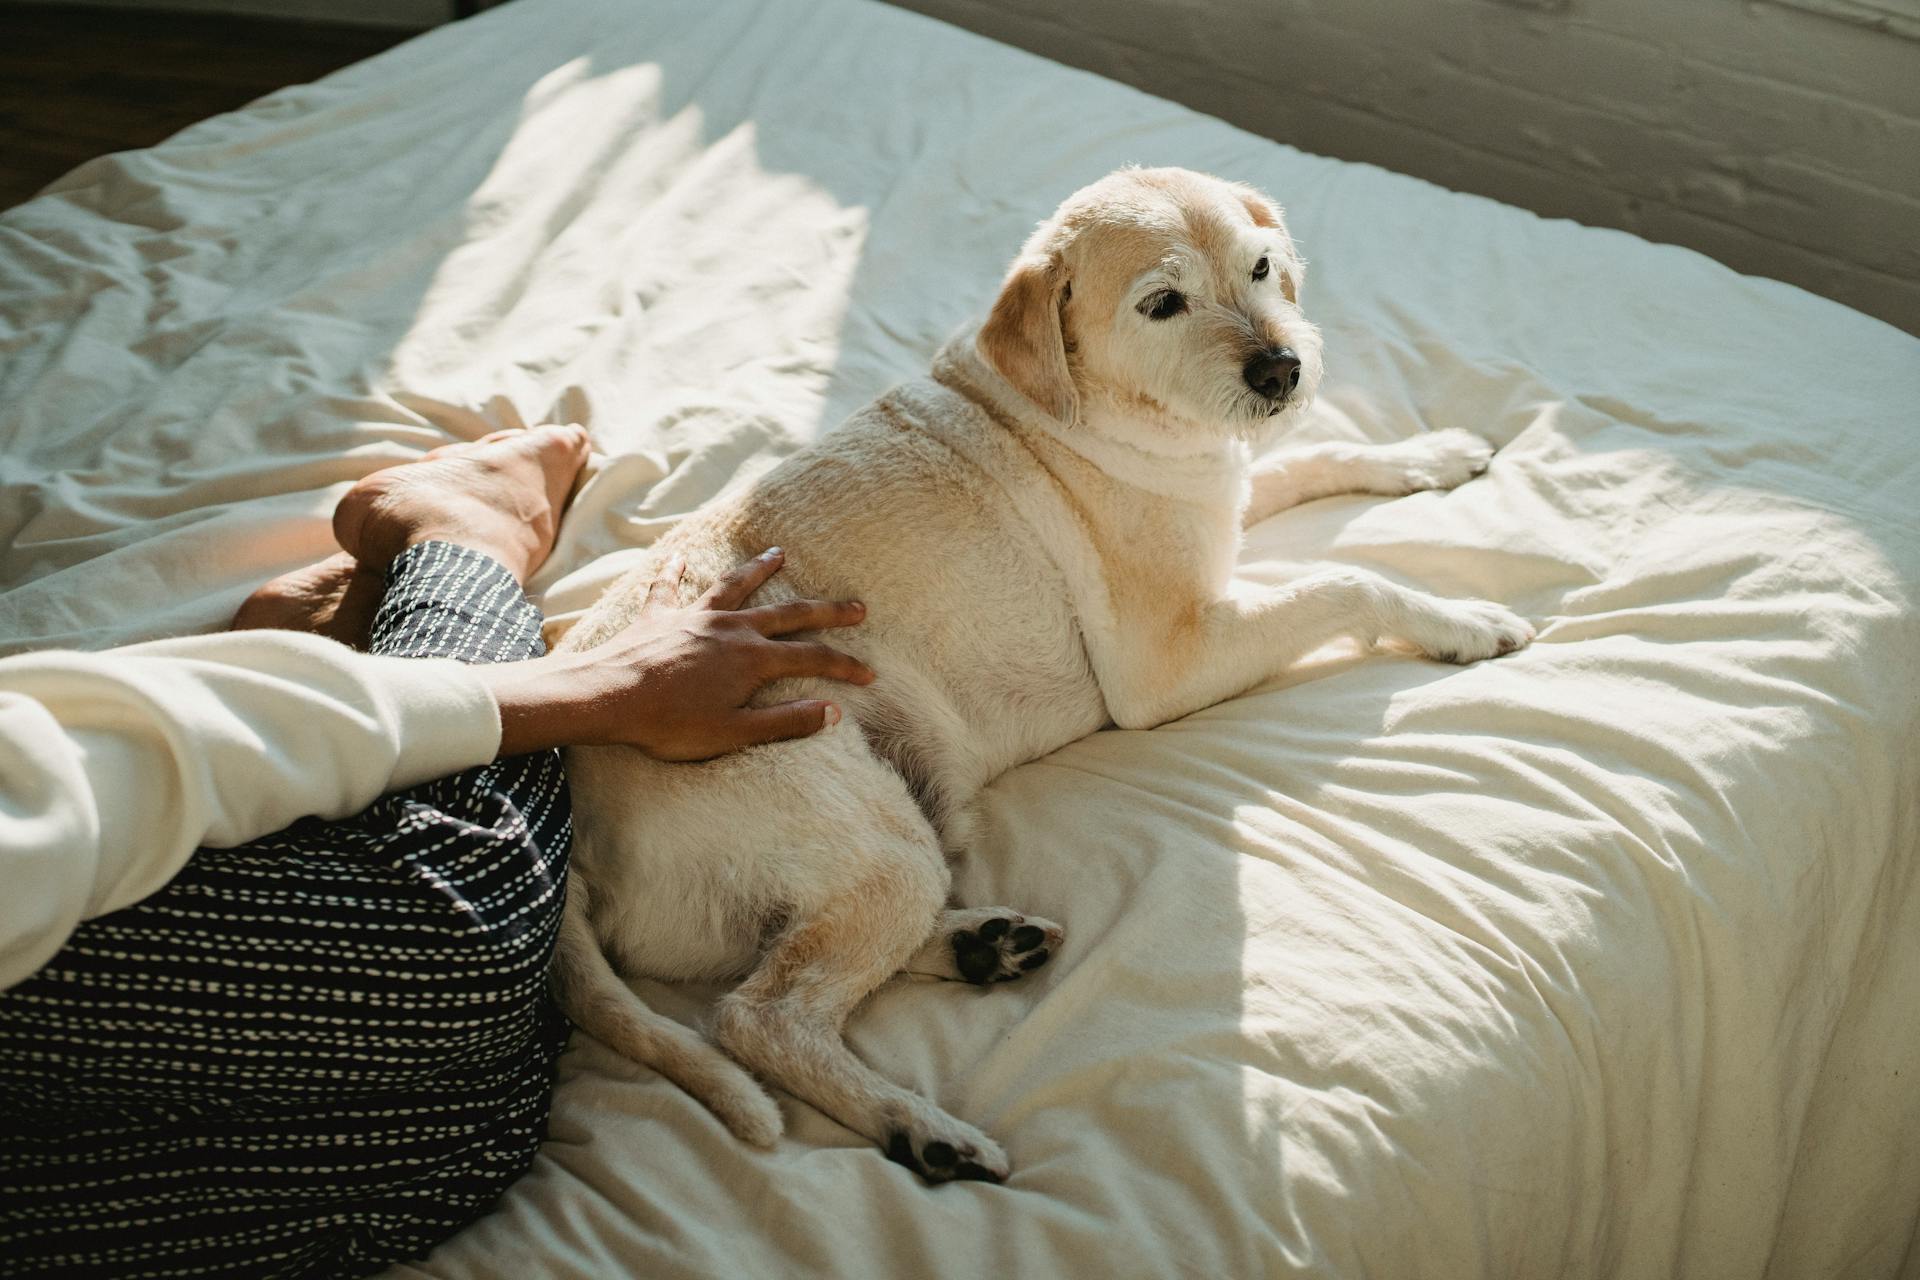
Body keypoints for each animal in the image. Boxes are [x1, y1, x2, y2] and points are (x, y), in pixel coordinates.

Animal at [549, 165, 1536, 1189]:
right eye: (1162, 304)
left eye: (1261, 268)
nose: (1281, 369)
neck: (1090, 408)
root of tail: (573, 820)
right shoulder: (1168, 664)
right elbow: (1350, 582)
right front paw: (1462, 621)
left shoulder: (1223, 497)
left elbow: (1321, 456)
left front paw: (1427, 453)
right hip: (871, 835)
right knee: (758, 1015)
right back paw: (923, 1127)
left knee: (788, 962)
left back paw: (981, 948)